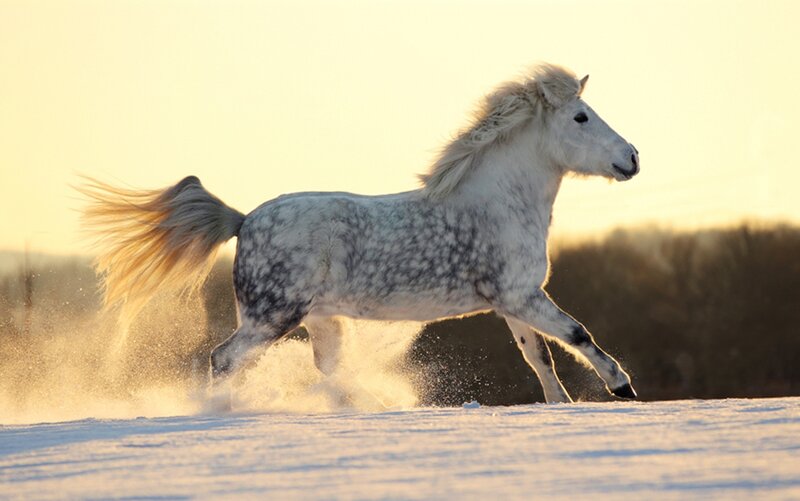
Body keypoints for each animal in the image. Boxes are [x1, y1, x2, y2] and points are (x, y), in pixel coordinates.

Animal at [80, 63, 639, 404]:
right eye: (581, 116)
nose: (632, 157)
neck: (498, 204)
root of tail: (243, 220)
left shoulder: (510, 302)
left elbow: (539, 355)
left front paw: (560, 405)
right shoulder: (521, 295)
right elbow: (577, 333)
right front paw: (622, 387)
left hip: (319, 319)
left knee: (325, 371)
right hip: (272, 317)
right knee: (226, 359)